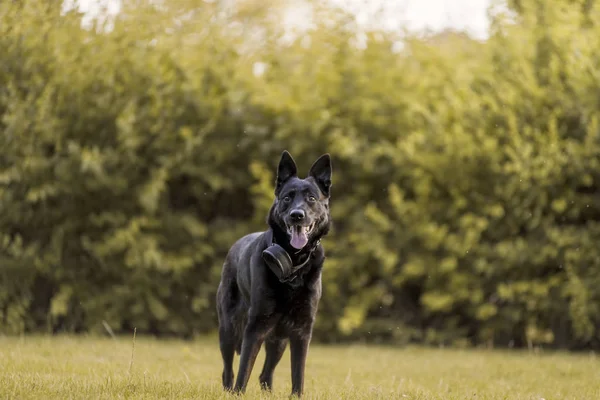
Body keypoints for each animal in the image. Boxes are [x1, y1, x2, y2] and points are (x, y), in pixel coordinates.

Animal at [216, 151, 332, 396]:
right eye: (287, 198)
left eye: (312, 199)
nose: (297, 215)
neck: (294, 265)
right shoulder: (255, 327)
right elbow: (244, 370)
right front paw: (239, 394)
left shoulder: (301, 331)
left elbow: (298, 373)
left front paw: (296, 396)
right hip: (229, 330)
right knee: (228, 370)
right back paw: (229, 390)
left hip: (278, 340)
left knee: (265, 374)